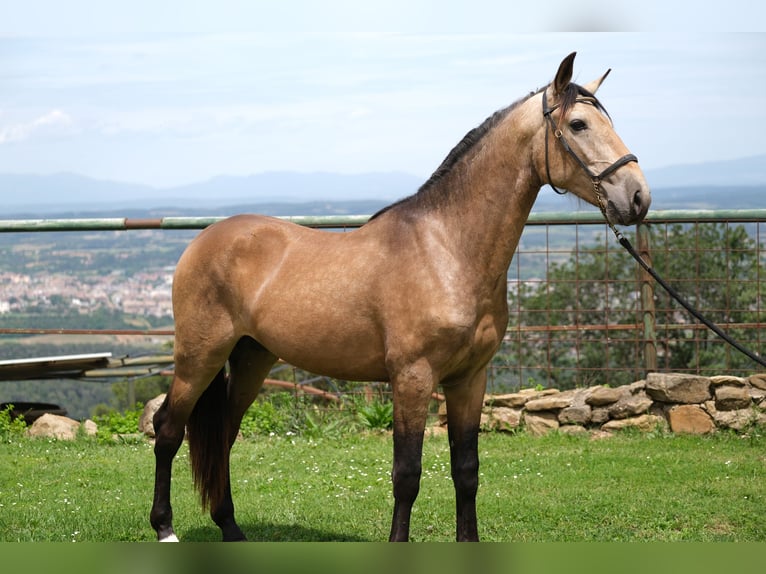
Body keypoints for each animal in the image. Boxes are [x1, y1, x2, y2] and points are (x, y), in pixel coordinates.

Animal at [152, 51, 656, 544]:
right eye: (579, 124)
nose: (638, 197)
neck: (447, 249)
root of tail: (204, 241)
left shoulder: (469, 379)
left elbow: (466, 471)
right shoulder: (412, 378)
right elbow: (407, 475)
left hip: (252, 357)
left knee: (223, 434)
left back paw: (231, 529)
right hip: (200, 356)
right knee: (169, 429)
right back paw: (165, 528)